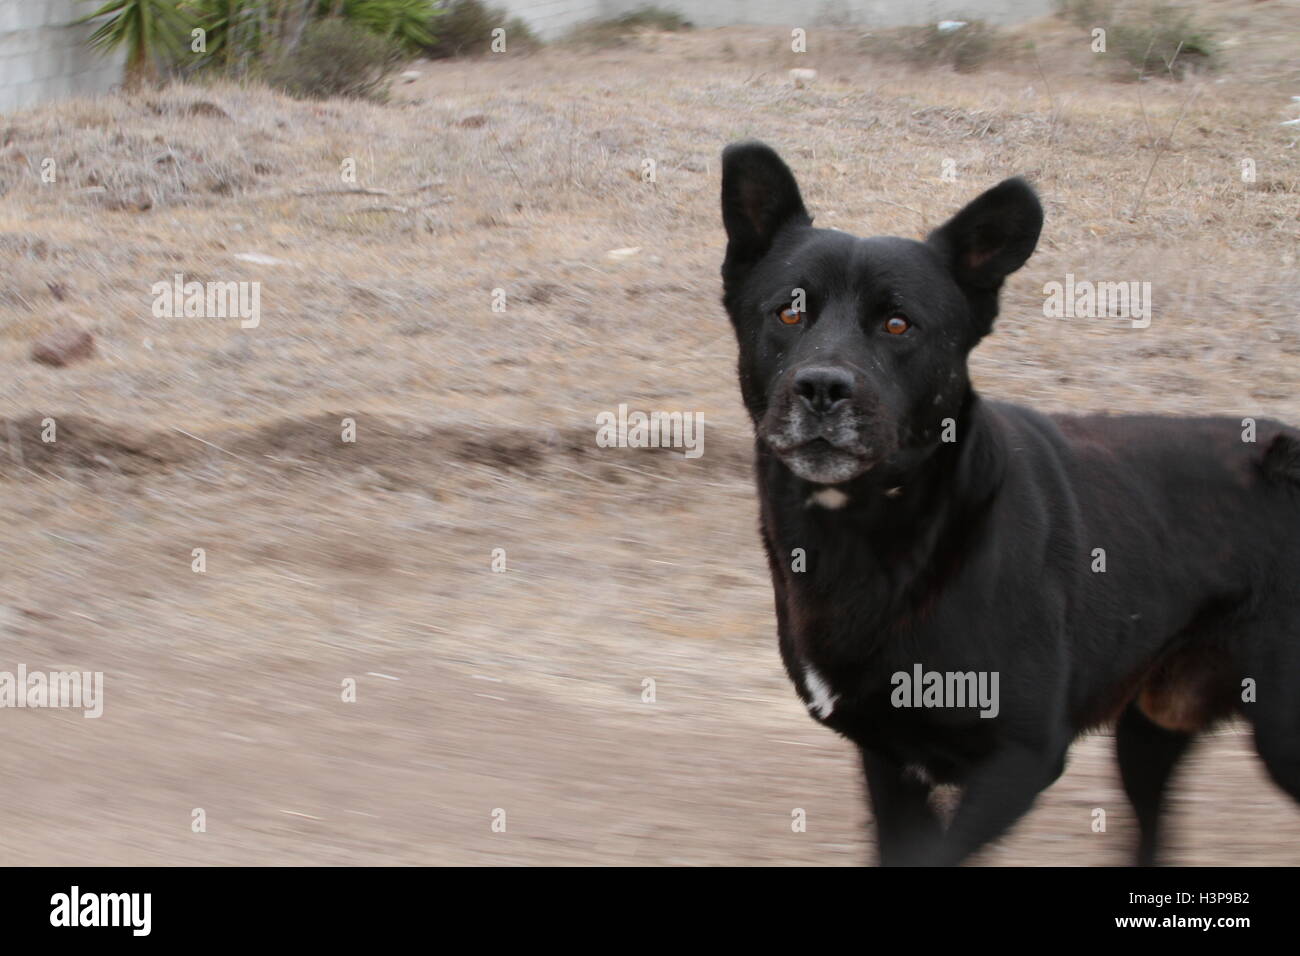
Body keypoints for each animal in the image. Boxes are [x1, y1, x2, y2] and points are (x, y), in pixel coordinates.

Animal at [722, 140, 1300, 868]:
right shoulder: (889, 761)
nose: (822, 388)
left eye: (898, 324)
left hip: (1282, 731)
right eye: (789, 313)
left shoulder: (1020, 759)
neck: (873, 528)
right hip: (1149, 732)